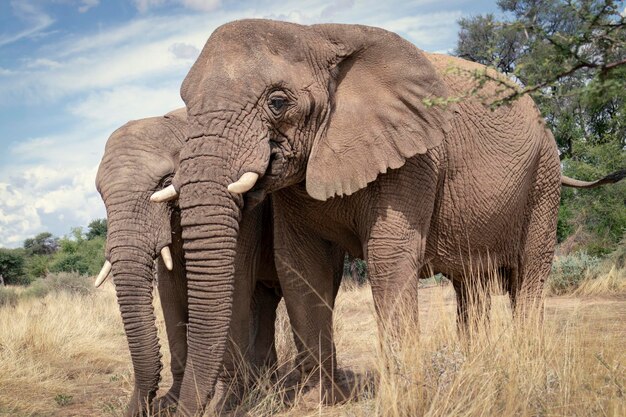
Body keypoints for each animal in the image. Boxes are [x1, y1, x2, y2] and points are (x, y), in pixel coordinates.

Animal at [93, 108, 282, 416]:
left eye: (166, 182)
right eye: (100, 195)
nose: (142, 407)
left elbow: (234, 281)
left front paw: (225, 404)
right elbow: (169, 292)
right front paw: (169, 403)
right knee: (263, 301)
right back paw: (265, 384)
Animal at [150, 20, 624, 416]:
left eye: (278, 102)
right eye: (186, 103)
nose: (177, 408)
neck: (316, 34)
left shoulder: (415, 158)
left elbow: (388, 255)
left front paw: (404, 395)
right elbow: (300, 266)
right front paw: (318, 401)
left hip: (544, 178)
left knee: (528, 276)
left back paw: (525, 362)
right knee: (471, 286)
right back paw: (474, 363)